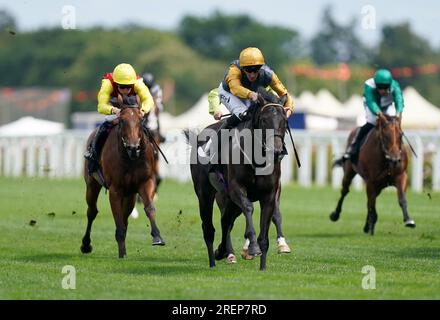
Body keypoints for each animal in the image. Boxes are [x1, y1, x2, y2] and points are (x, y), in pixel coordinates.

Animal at [80, 94, 164, 258]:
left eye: (140, 120)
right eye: (123, 120)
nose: (133, 147)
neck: (130, 158)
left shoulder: (145, 182)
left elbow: (149, 208)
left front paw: (157, 236)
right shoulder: (115, 190)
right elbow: (118, 220)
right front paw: (121, 253)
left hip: (130, 195)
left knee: (125, 216)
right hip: (92, 184)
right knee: (92, 211)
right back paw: (86, 245)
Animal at [187, 87, 290, 270]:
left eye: (284, 120)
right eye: (264, 120)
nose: (277, 151)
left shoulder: (269, 195)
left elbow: (267, 228)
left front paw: (263, 266)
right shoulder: (236, 189)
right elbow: (249, 208)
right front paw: (253, 247)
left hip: (228, 200)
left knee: (225, 221)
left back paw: (222, 252)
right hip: (205, 194)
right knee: (209, 228)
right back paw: (213, 261)